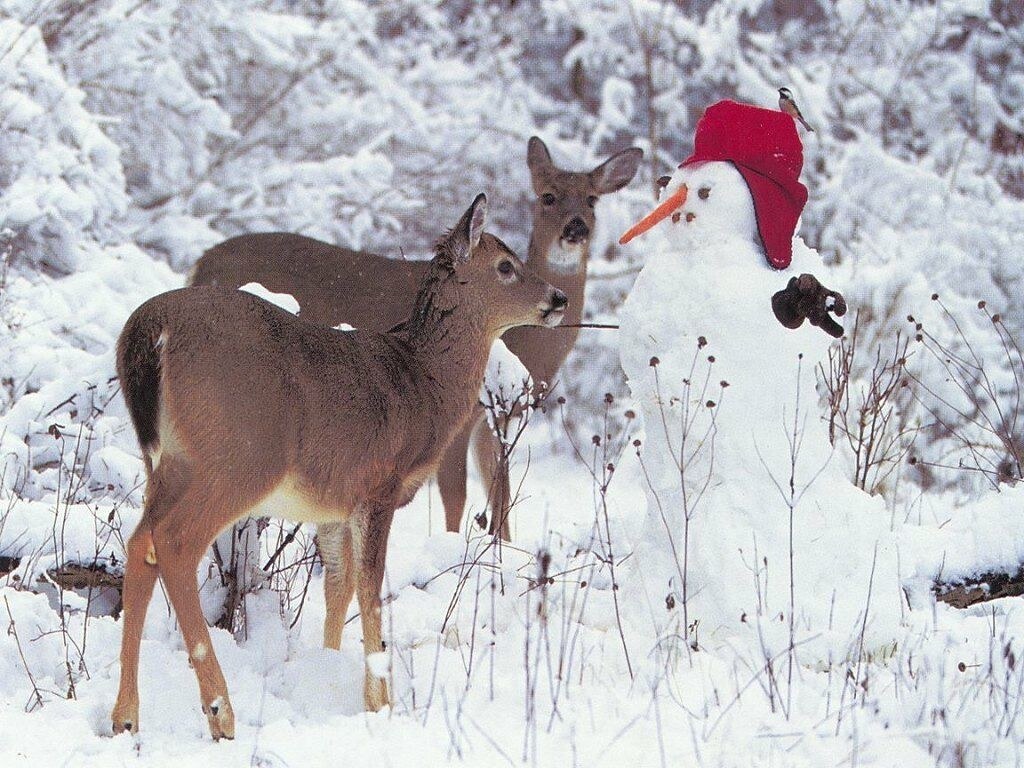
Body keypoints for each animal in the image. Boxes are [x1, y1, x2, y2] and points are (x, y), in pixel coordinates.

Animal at [111, 194, 566, 739]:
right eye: (505, 266)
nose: (560, 297)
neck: (423, 384)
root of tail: (151, 327)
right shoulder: (379, 485)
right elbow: (371, 588)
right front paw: (380, 702)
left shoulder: (332, 507)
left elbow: (338, 586)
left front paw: (324, 672)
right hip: (239, 455)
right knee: (175, 543)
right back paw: (220, 711)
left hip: (168, 461)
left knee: (140, 542)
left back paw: (125, 716)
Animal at [190, 138, 642, 538]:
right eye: (547, 196)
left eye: (592, 200)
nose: (575, 228)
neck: (525, 349)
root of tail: (201, 263)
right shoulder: (463, 418)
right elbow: (457, 497)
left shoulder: (499, 418)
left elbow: (502, 497)